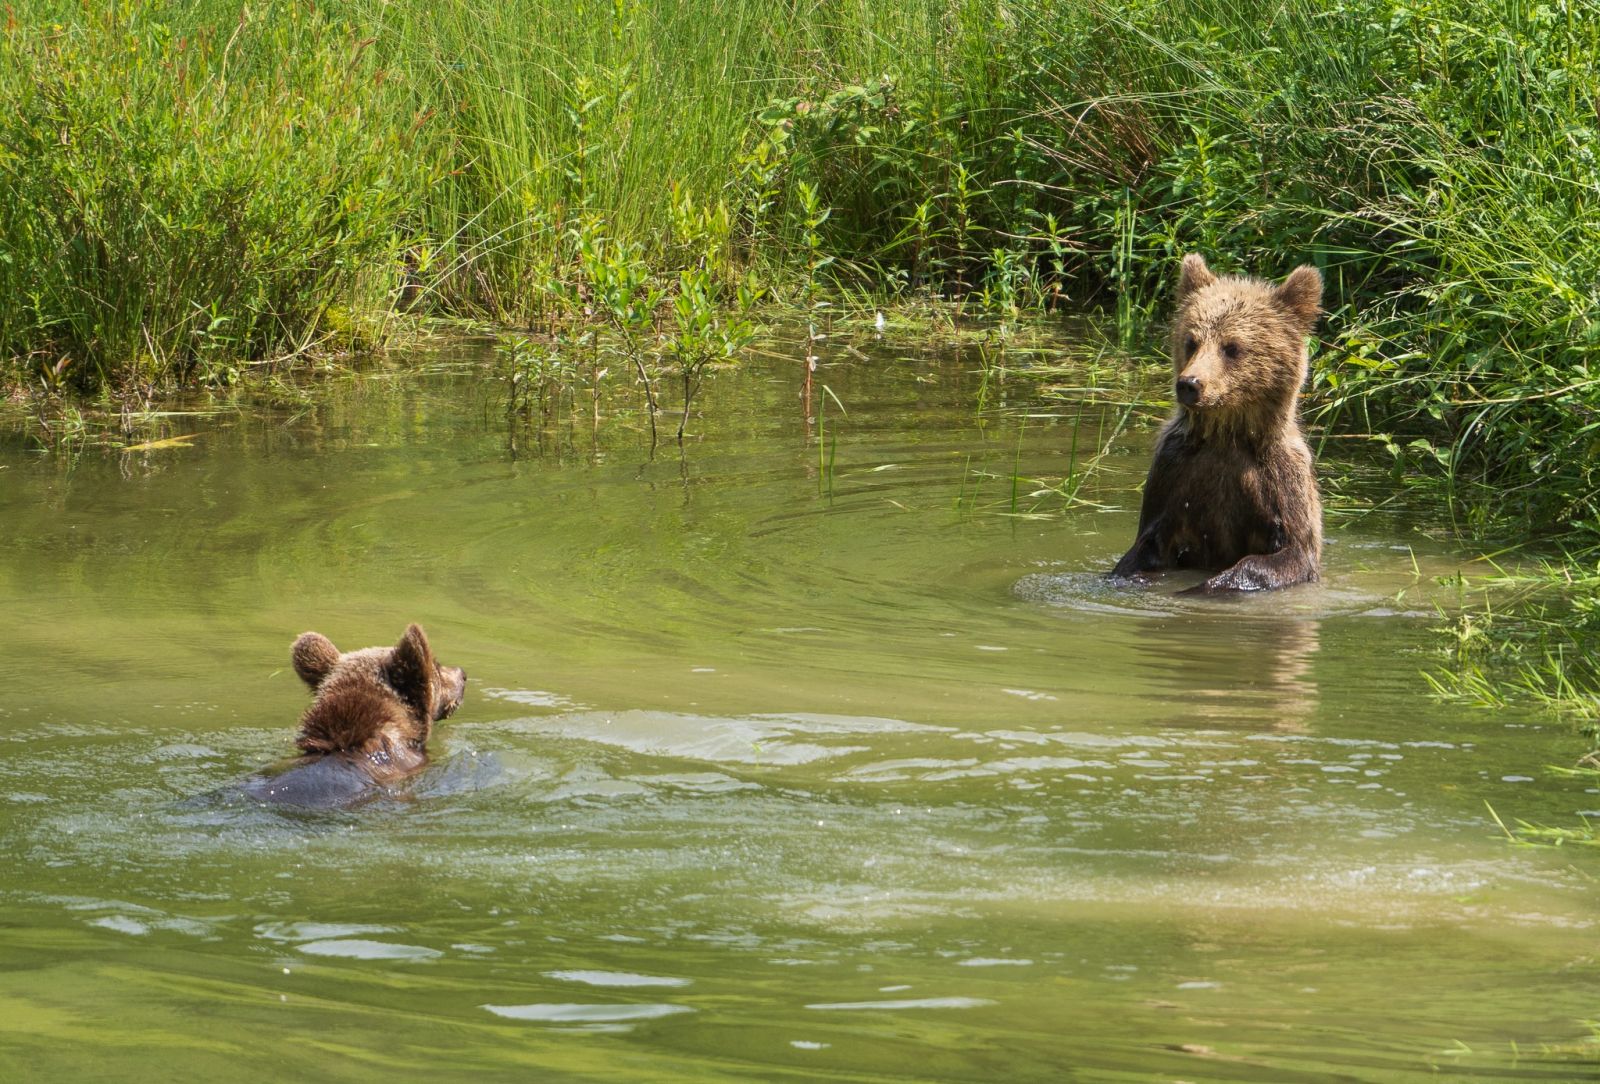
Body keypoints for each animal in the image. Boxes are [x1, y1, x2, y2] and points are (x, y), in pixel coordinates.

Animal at [1113, 254, 1324, 594]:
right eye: (1191, 341)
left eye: (1232, 347)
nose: (1190, 384)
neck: (1227, 434)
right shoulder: (1174, 469)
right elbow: (1148, 543)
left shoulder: (1279, 478)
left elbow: (1289, 554)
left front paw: (1204, 586)